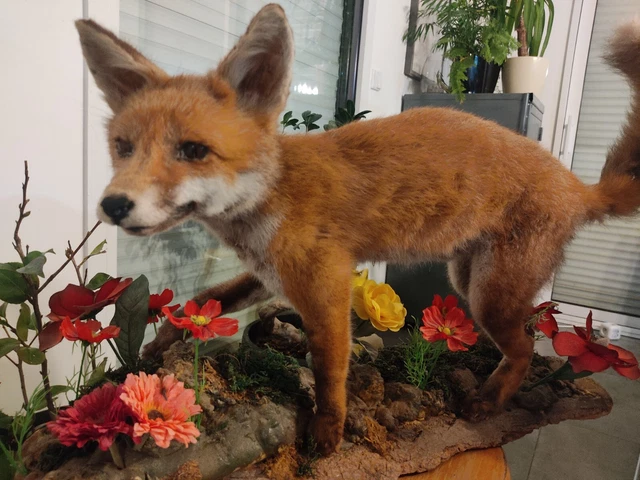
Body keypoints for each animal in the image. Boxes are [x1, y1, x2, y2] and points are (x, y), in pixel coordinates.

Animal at [75, 4, 640, 455]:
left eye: (193, 150)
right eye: (123, 148)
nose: (113, 205)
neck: (272, 197)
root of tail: (576, 185)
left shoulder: (325, 289)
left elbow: (329, 370)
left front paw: (328, 431)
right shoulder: (268, 274)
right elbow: (206, 299)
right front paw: (161, 340)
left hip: (489, 297)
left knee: (523, 351)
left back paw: (489, 401)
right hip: (468, 278)